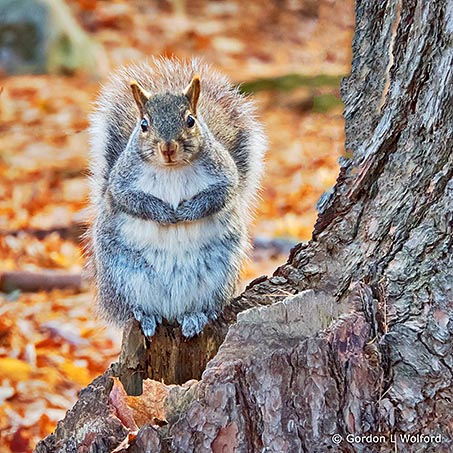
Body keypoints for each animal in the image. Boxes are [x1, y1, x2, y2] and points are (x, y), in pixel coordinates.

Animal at [86, 57, 266, 336]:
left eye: (190, 120)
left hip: (217, 277)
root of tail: (171, 311)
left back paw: (195, 317)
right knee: (132, 307)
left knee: (205, 306)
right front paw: (164, 213)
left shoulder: (224, 174)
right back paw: (145, 316)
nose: (168, 147)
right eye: (144, 124)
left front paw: (186, 211)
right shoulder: (121, 181)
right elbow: (129, 199)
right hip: (124, 276)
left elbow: (220, 194)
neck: (171, 168)